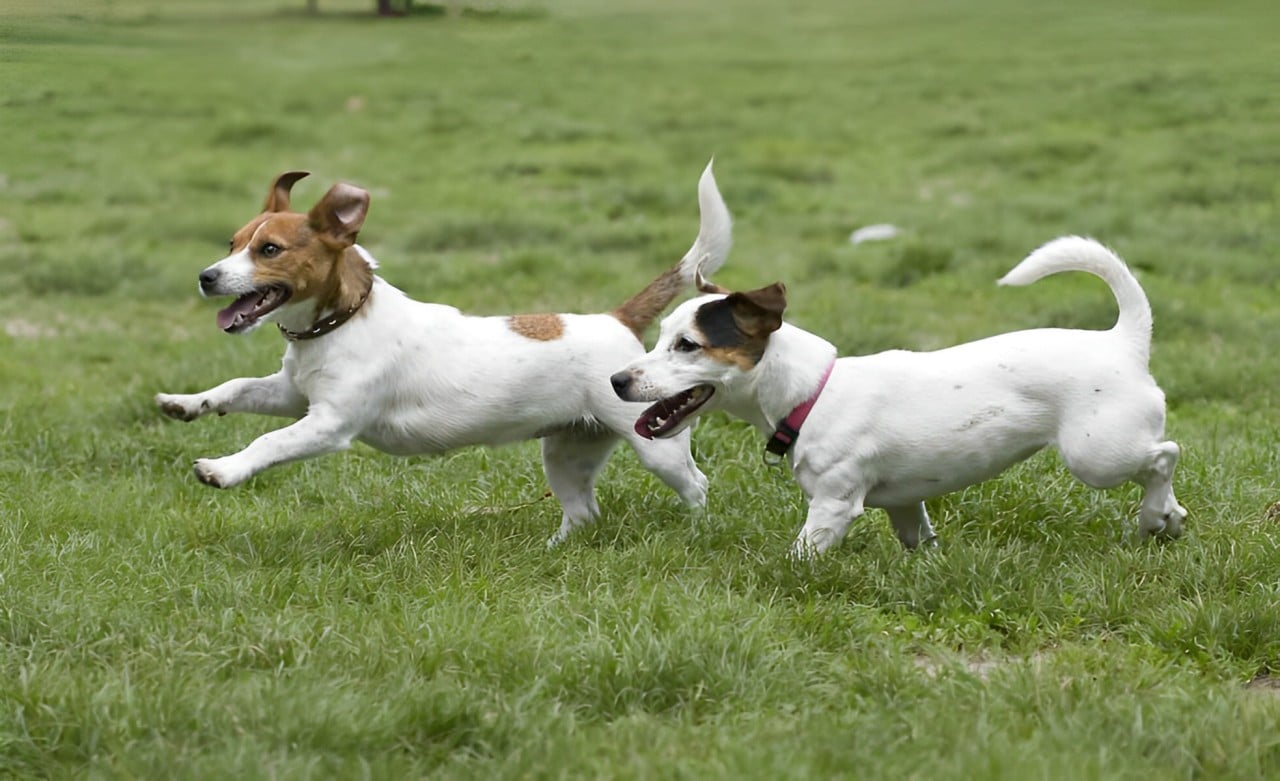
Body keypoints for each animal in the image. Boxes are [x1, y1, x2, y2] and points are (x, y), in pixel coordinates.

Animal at [157, 163, 732, 540]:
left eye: (269, 249)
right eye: (232, 244)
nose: (206, 277)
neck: (342, 323)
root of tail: (617, 318)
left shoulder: (328, 423)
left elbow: (269, 442)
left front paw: (223, 469)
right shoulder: (292, 394)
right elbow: (236, 388)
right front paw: (186, 403)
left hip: (657, 446)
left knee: (698, 485)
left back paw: (696, 532)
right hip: (568, 452)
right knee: (584, 512)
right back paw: (557, 549)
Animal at [609, 235, 1187, 553]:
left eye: (687, 345)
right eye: (659, 336)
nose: (617, 380)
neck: (813, 393)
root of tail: (1124, 339)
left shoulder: (834, 505)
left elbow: (801, 554)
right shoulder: (907, 505)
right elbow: (921, 541)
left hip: (1097, 455)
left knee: (1165, 454)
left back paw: (1153, 515)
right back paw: (1170, 519)